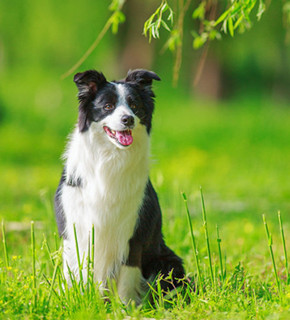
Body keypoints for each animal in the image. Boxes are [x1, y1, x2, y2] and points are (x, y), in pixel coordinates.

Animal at [53, 69, 186, 304]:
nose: (128, 119)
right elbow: (76, 274)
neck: (110, 159)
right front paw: (80, 302)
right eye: (107, 106)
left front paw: (125, 308)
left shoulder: (133, 235)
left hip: (168, 263)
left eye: (134, 105)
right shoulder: (75, 231)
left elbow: (126, 280)